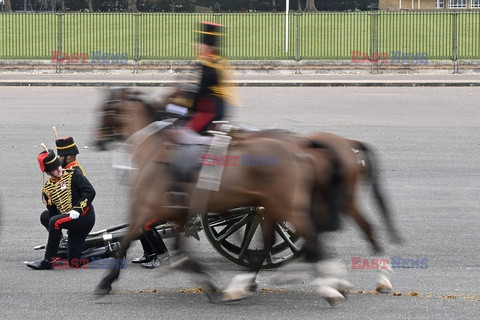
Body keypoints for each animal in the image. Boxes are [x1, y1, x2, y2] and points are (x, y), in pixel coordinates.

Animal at [90, 88, 346, 304]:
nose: (97, 141)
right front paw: (206, 280)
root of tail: (299, 150)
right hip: (268, 208)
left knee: (308, 237)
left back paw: (327, 286)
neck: (153, 148)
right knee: (273, 242)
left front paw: (106, 282)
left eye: (106, 109)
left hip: (281, 207)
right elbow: (179, 250)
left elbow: (126, 241)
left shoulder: (145, 208)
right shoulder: (176, 214)